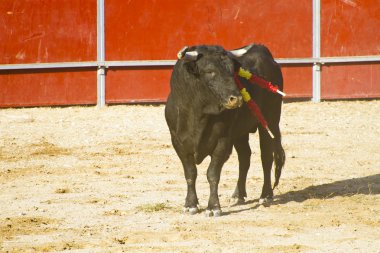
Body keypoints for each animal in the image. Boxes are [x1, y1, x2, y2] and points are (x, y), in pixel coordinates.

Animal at [164, 44, 284, 216]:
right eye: (209, 71)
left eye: (232, 71)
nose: (237, 99)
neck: (199, 113)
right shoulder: (178, 142)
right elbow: (190, 173)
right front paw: (190, 205)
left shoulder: (222, 141)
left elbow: (212, 173)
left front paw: (213, 207)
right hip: (241, 132)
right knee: (245, 157)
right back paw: (239, 195)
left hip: (270, 121)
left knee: (266, 157)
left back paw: (266, 195)